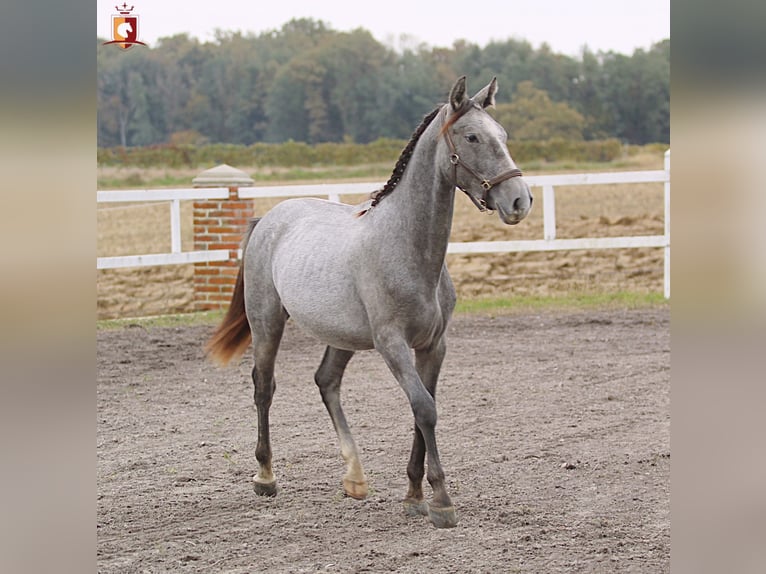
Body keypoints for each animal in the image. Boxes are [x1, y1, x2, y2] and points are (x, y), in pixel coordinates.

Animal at [208, 77, 536, 532]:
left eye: (502, 135)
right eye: (472, 137)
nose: (520, 201)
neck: (407, 248)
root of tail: (268, 220)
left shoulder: (433, 346)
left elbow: (423, 409)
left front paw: (414, 496)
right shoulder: (391, 344)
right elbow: (424, 408)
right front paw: (441, 501)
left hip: (340, 337)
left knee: (326, 382)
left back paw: (355, 477)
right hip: (267, 322)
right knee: (264, 387)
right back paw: (265, 477)